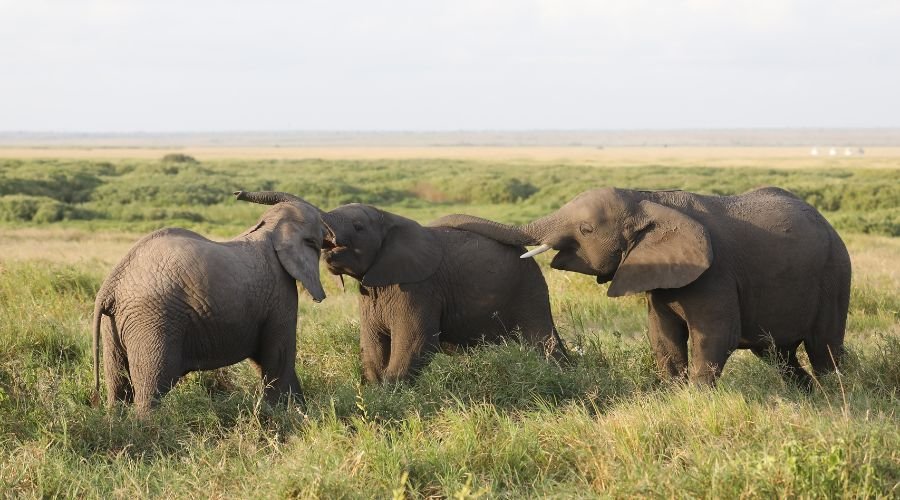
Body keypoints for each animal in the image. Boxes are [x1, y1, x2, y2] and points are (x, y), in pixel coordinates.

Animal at [91, 191, 329, 414]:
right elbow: (278, 359)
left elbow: (265, 360)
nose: (237, 193)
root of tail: (111, 284)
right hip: (153, 321)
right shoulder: (280, 292)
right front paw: (288, 416)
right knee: (151, 389)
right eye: (321, 227)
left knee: (118, 387)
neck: (271, 228)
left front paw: (300, 412)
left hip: (116, 325)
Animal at [235, 191, 567, 384]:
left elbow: (416, 342)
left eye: (358, 227)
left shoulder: (419, 287)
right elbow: (372, 343)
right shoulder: (370, 292)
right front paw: (373, 391)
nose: (238, 193)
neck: (389, 219)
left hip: (528, 287)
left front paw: (389, 394)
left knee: (541, 337)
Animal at [434, 186, 851, 388]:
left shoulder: (715, 272)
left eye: (586, 229)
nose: (440, 226)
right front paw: (673, 396)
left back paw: (839, 395)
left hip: (835, 274)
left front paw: (698, 402)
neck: (649, 199)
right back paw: (807, 396)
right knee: (778, 355)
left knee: (824, 349)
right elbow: (663, 337)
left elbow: (715, 336)